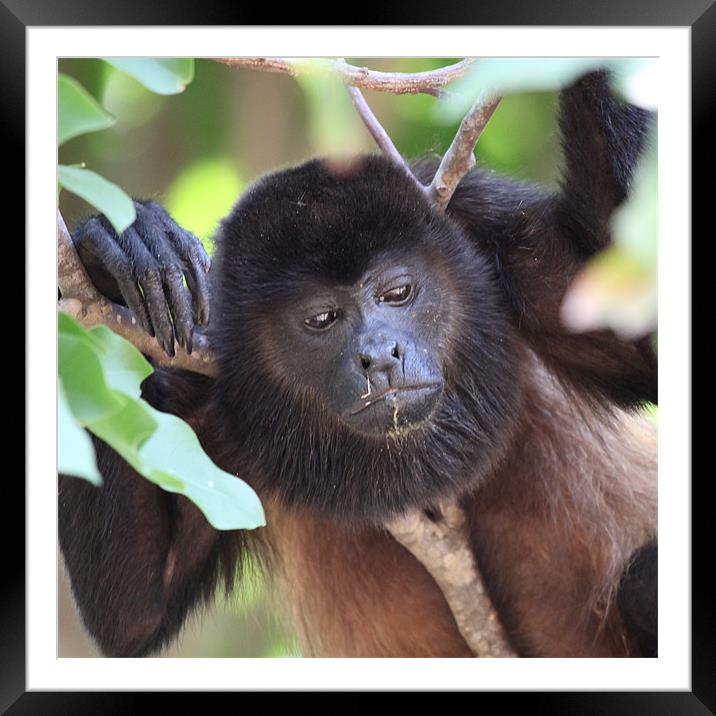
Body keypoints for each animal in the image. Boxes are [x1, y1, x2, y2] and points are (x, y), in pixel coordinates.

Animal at [58, 72, 656, 660]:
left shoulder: (487, 225)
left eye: (397, 292)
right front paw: (119, 246)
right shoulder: (213, 394)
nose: (380, 356)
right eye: (323, 318)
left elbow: (636, 333)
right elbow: (133, 609)